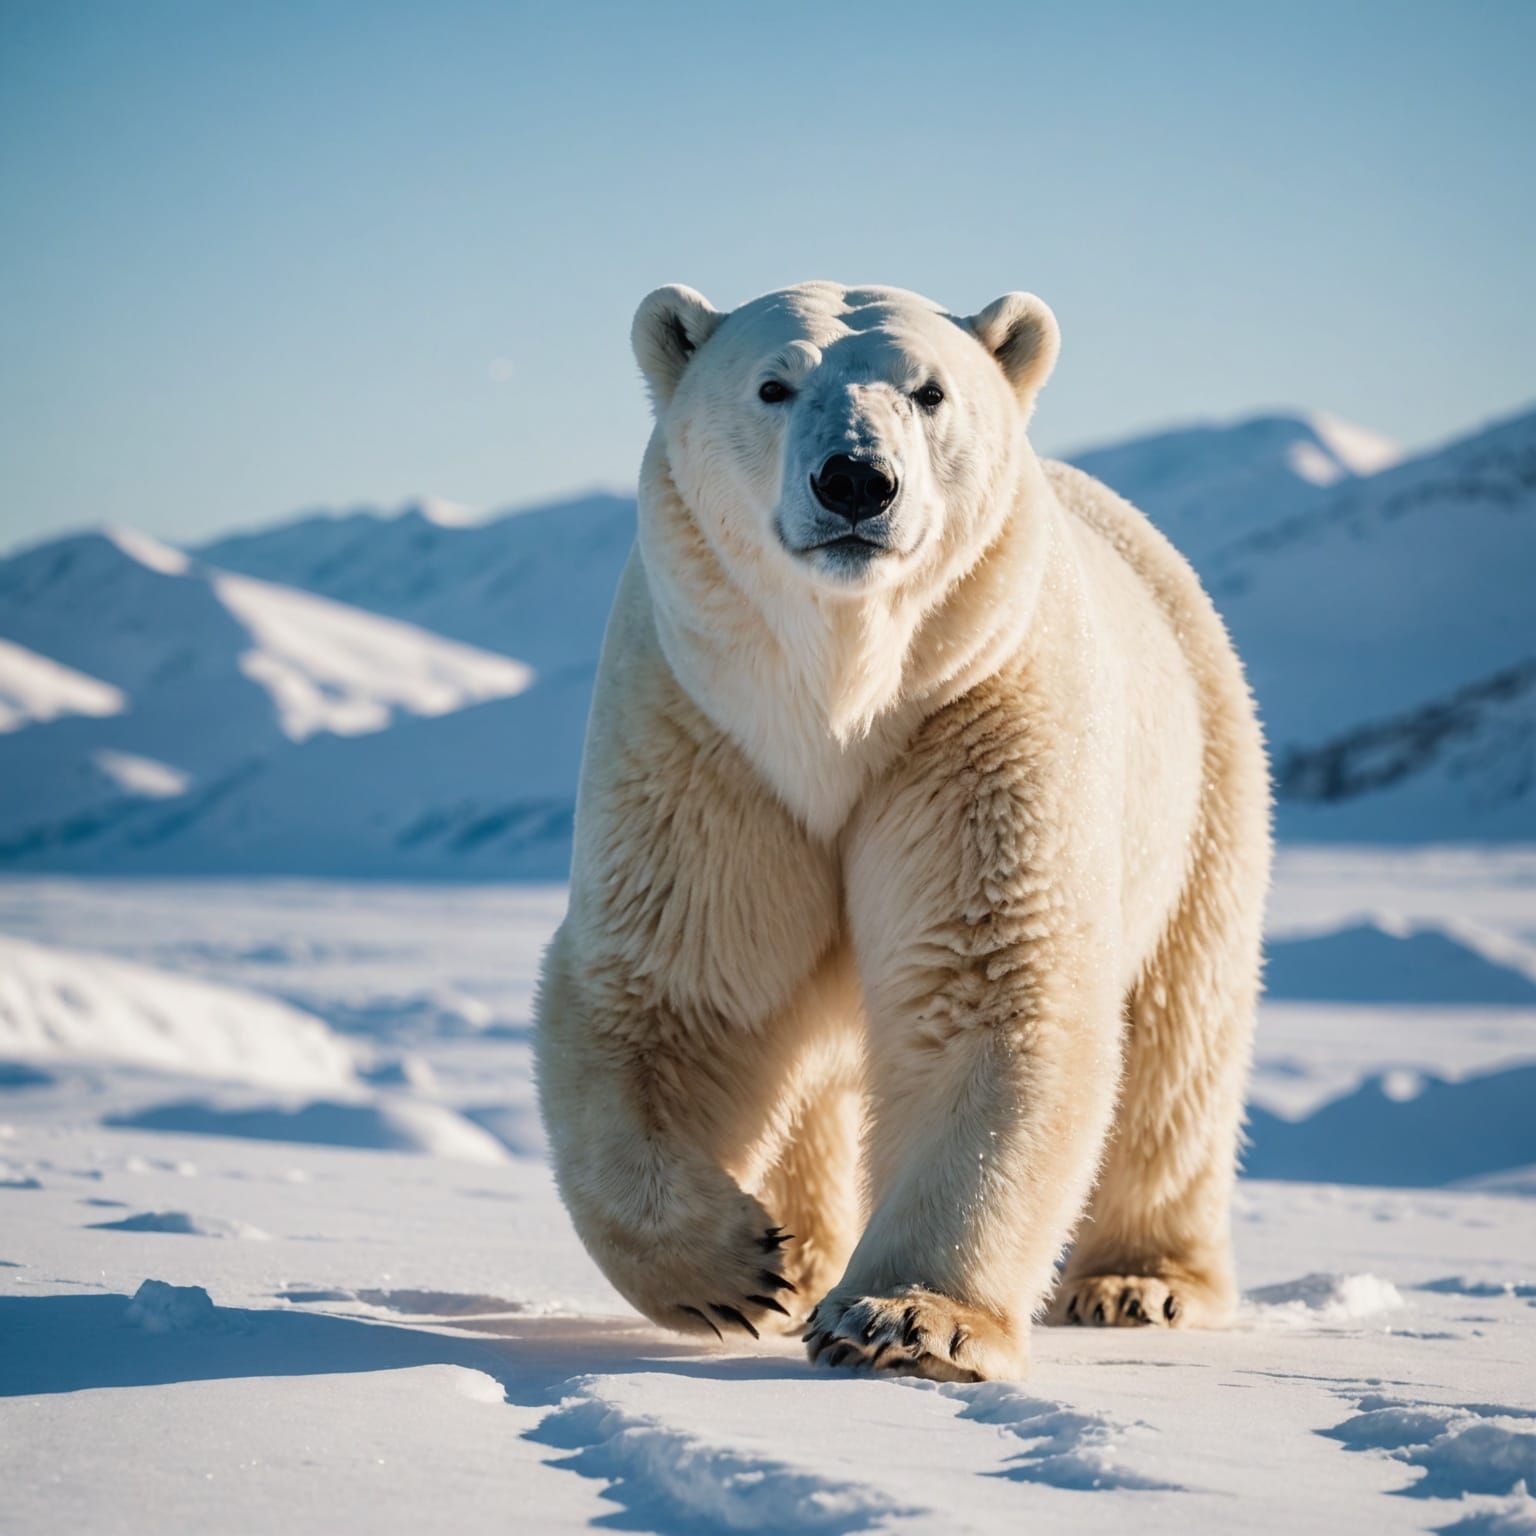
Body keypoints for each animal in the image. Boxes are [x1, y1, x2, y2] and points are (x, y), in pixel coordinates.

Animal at [535, 281, 1270, 1381]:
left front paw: (903, 1319)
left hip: (1205, 785)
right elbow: (674, 986)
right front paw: (737, 1267)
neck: (842, 696)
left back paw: (1140, 1283)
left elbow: (985, 984)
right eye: (774, 383)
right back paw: (805, 1250)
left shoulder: (975, 712)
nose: (855, 480)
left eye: (929, 391)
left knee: (1180, 1044)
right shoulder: (706, 735)